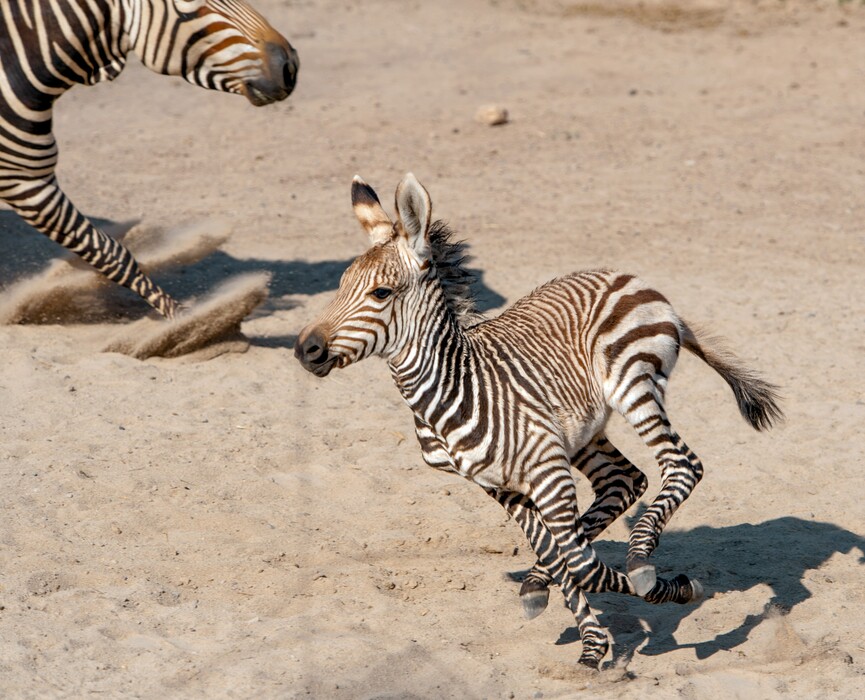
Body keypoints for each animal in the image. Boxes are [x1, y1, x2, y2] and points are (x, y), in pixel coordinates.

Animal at [0, 0, 299, 319]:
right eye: (188, 9)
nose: (290, 65)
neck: (15, 66)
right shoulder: (24, 180)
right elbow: (109, 252)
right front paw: (188, 320)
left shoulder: (32, 177)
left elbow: (106, 251)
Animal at [294, 173, 782, 668]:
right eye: (339, 286)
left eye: (381, 293)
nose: (305, 350)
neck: (454, 388)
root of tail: (625, 277)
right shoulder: (498, 484)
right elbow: (559, 552)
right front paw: (591, 644)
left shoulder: (549, 472)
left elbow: (582, 564)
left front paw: (672, 589)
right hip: (583, 429)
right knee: (624, 481)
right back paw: (542, 578)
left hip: (633, 385)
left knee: (682, 466)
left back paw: (642, 561)